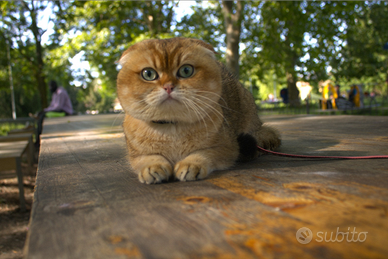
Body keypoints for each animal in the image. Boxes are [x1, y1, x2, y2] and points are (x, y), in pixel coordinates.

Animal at [116, 38, 280, 185]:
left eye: (186, 70)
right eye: (148, 74)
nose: (168, 86)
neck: (172, 129)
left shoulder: (228, 148)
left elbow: (204, 153)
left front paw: (191, 164)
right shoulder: (135, 155)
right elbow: (149, 157)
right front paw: (153, 167)